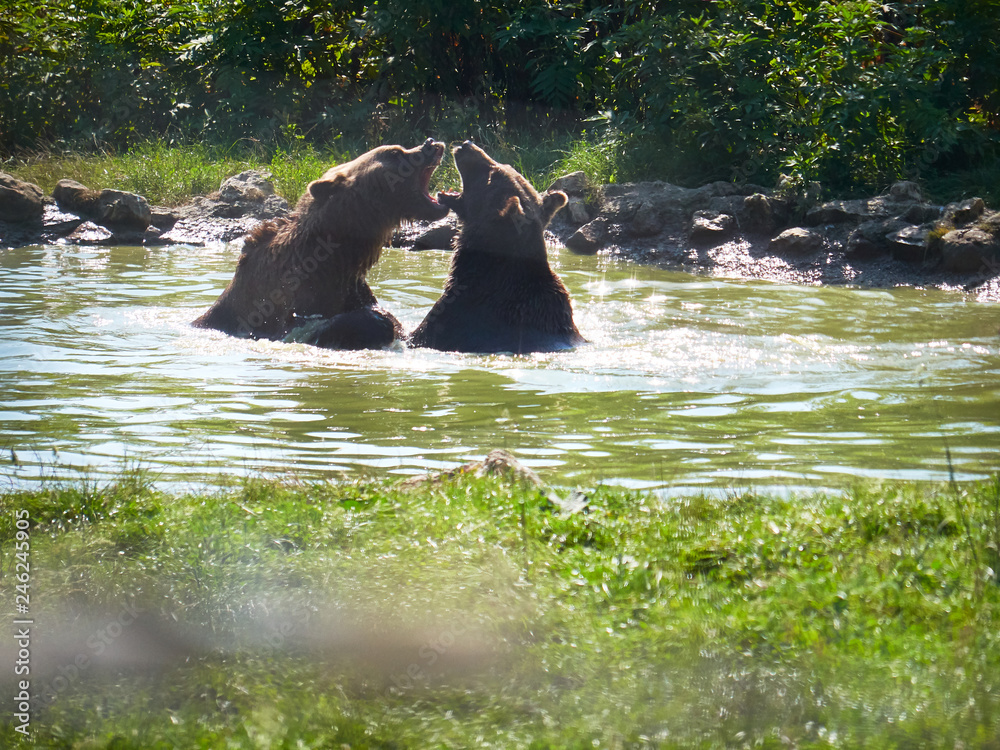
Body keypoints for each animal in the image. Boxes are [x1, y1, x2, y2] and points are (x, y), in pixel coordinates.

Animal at [193, 138, 450, 349]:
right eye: (395, 152)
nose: (431, 143)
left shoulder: (350, 288)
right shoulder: (282, 302)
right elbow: (308, 328)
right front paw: (379, 321)